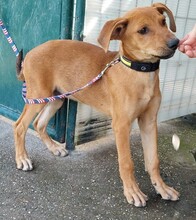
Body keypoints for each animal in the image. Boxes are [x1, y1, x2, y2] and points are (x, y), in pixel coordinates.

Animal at [13, 2, 179, 207]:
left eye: (163, 22)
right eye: (143, 30)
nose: (176, 43)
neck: (139, 71)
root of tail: (31, 53)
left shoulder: (148, 121)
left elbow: (153, 160)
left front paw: (162, 188)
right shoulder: (121, 125)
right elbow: (127, 162)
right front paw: (132, 191)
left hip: (57, 97)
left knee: (39, 123)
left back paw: (54, 148)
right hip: (38, 95)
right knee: (20, 126)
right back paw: (22, 158)